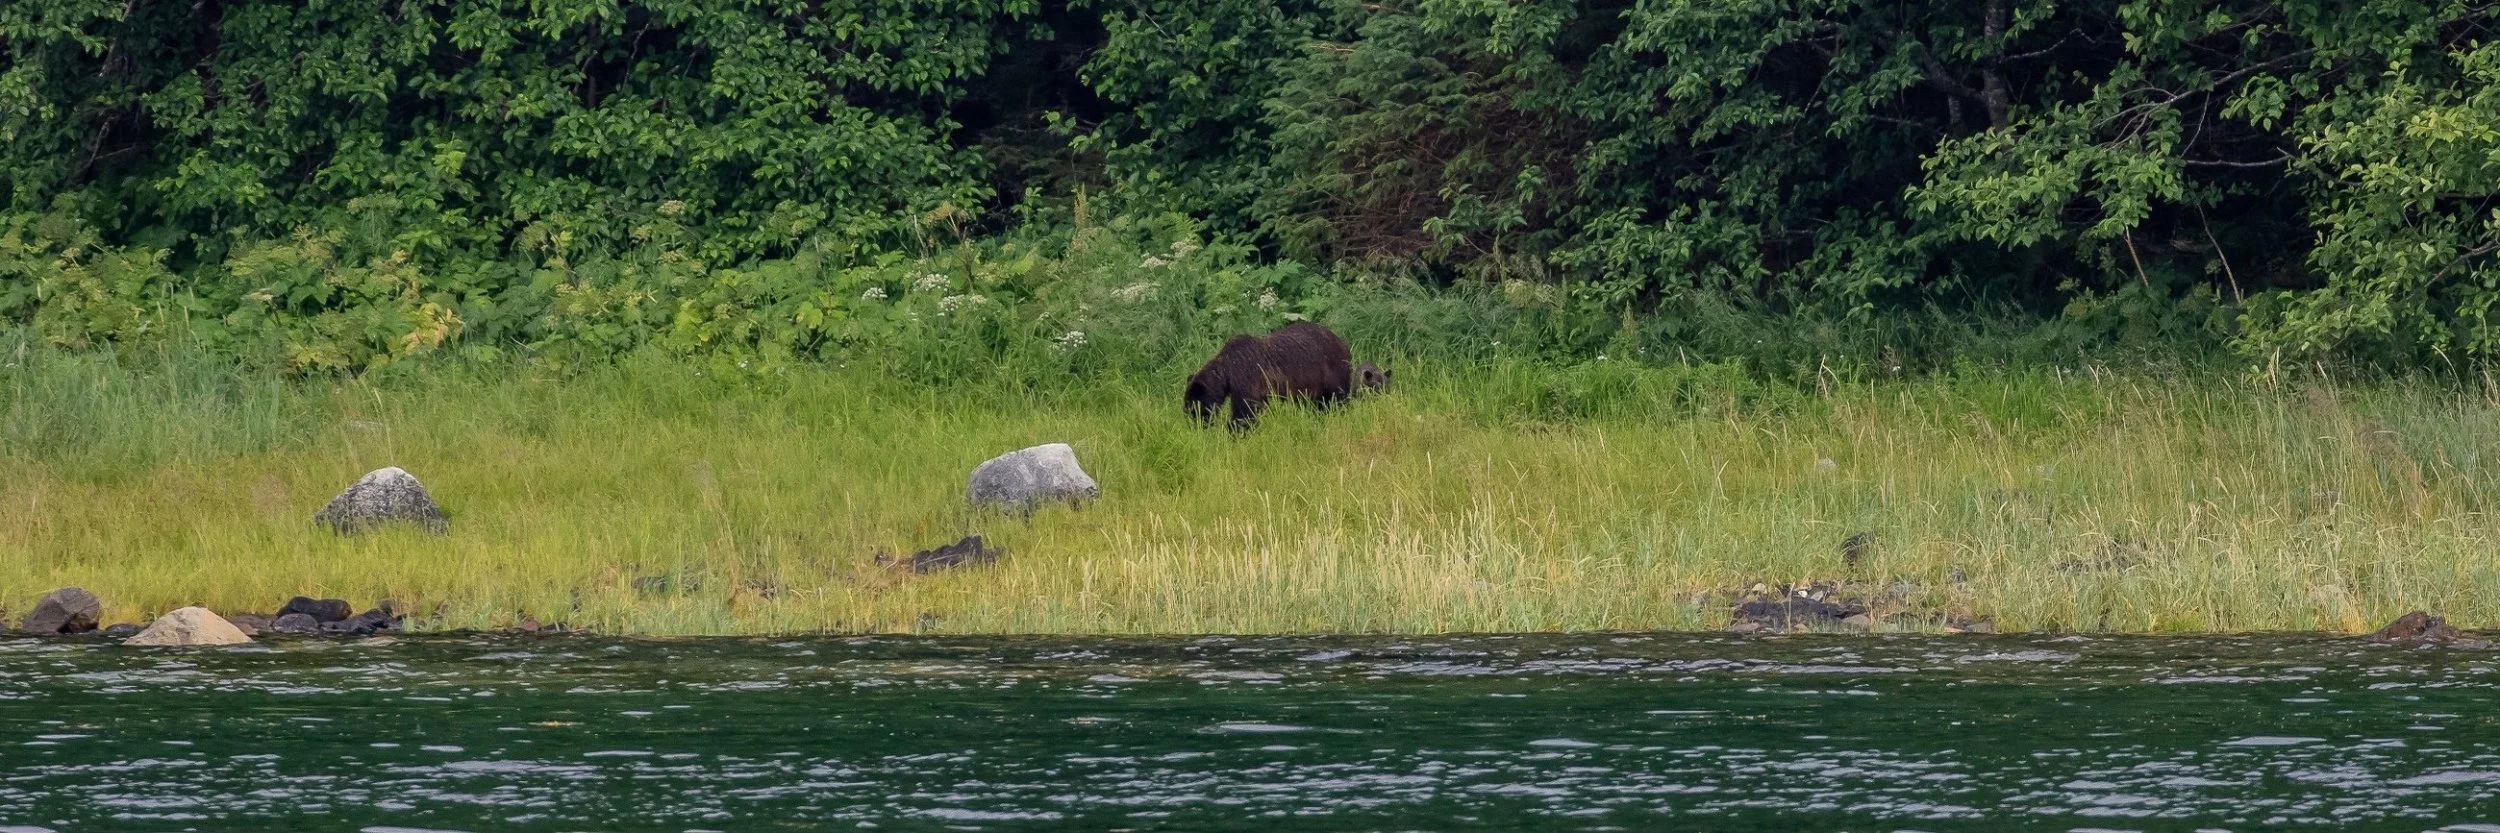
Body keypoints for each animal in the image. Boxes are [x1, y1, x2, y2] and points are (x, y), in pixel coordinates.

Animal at [1184, 322, 1385, 430]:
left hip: (1331, 371)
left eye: (1193, 407)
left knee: (1337, 399)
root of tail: (1343, 343)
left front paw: (1236, 430)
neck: (1227, 371)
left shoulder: (1247, 376)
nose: (1197, 424)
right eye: (1187, 408)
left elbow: (1246, 412)